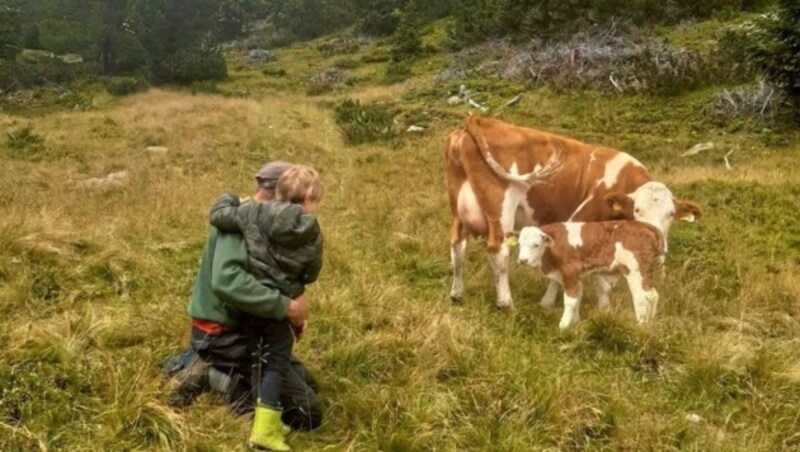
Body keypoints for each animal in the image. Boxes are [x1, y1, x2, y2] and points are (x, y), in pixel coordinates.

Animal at [444, 115, 700, 308]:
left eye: (671, 214)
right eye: (637, 210)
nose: (657, 243)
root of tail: (478, 119)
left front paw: (603, 304)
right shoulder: (578, 220)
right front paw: (549, 301)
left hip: (457, 208)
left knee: (457, 246)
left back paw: (457, 294)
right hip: (500, 208)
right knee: (499, 250)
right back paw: (505, 302)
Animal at [516, 222, 664, 328]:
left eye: (536, 244)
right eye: (520, 244)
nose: (522, 260)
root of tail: (644, 225)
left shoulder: (570, 272)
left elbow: (570, 300)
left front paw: (563, 325)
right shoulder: (575, 276)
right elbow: (577, 298)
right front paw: (575, 322)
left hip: (636, 270)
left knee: (642, 297)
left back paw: (641, 325)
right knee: (654, 295)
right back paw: (650, 323)